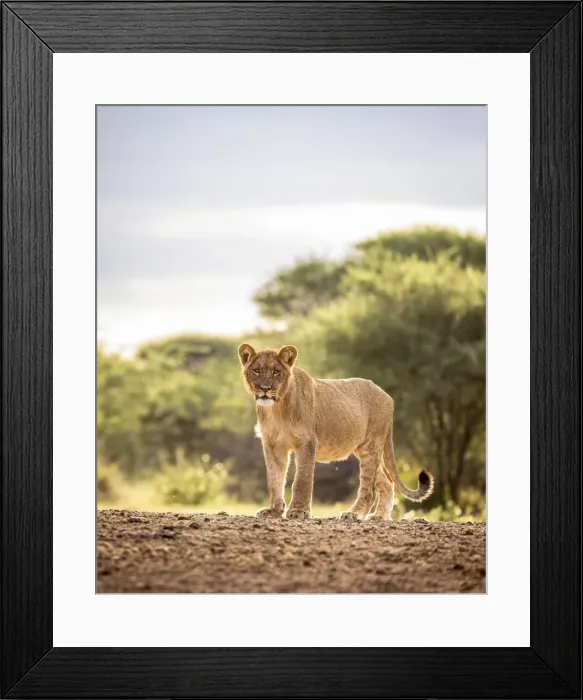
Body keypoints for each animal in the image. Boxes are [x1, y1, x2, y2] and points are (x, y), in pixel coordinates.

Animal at [238, 343, 434, 521]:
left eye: (276, 372)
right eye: (256, 370)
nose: (265, 388)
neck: (276, 408)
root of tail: (387, 395)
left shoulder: (307, 442)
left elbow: (302, 480)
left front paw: (298, 511)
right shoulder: (273, 445)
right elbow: (274, 480)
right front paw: (274, 511)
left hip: (371, 445)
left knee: (369, 489)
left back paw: (354, 514)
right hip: (365, 449)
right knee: (386, 481)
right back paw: (379, 517)